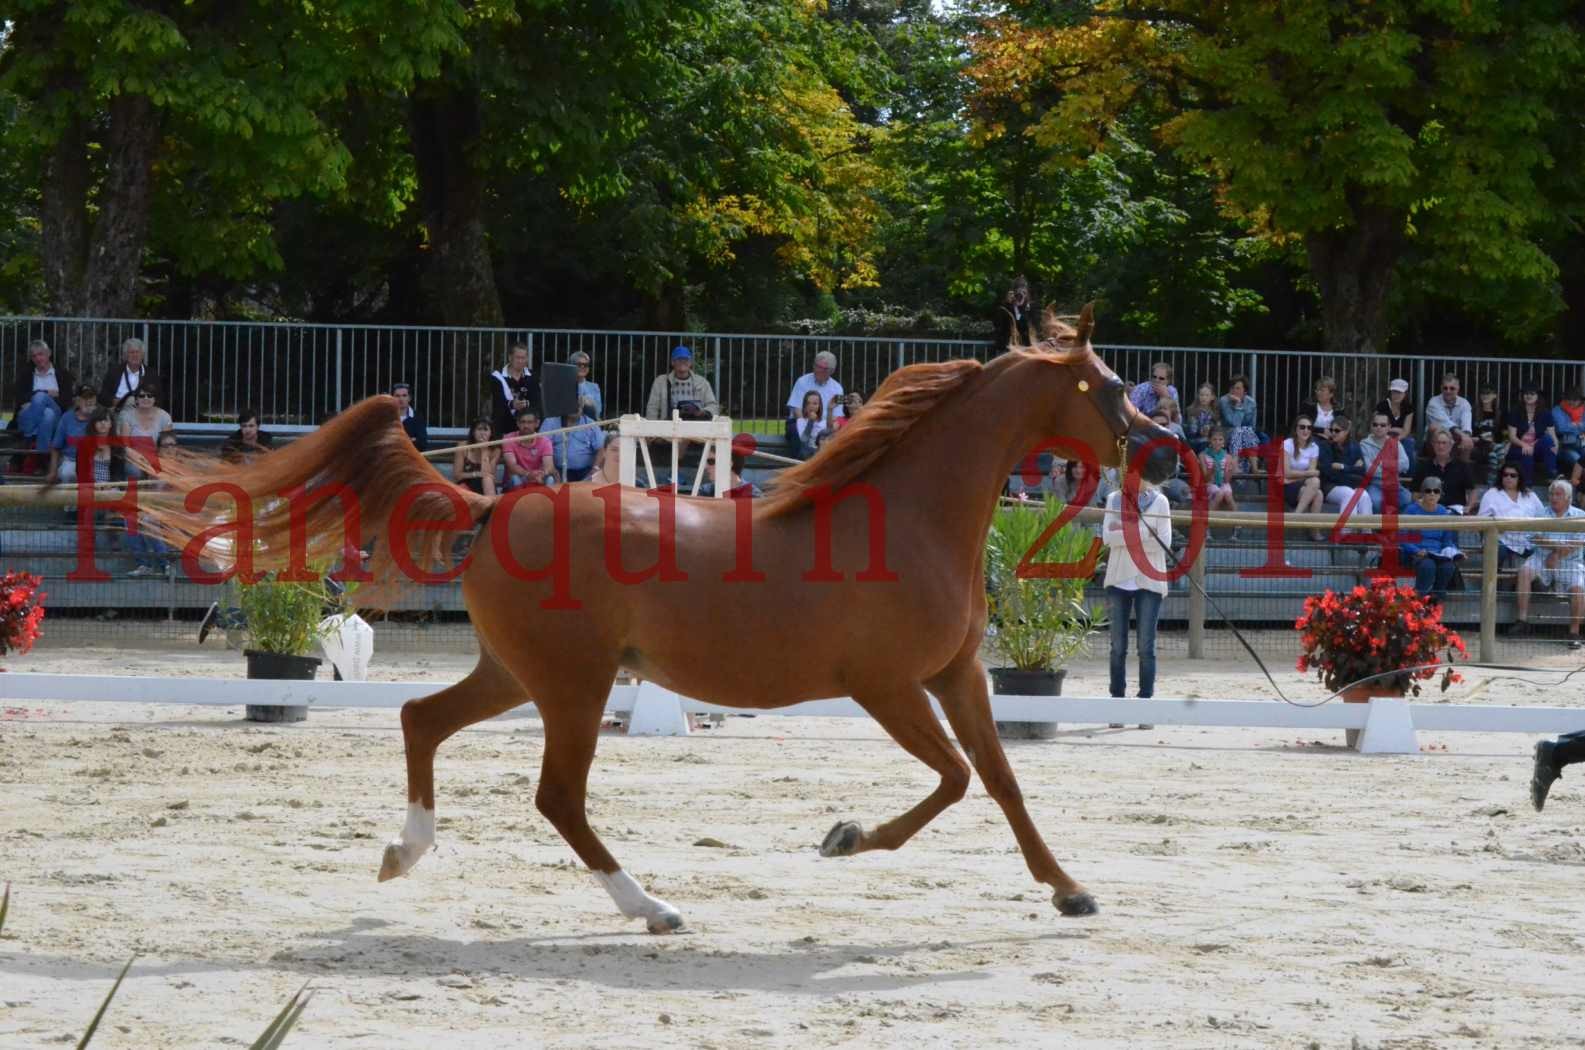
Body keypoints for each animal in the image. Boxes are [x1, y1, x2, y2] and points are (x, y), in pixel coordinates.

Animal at [139, 306, 1179, 938]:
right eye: (1104, 385)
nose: (1166, 453)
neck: (912, 520)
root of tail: (492, 505)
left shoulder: (956, 674)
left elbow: (1000, 781)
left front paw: (1070, 890)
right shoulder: (885, 686)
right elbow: (955, 779)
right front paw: (844, 837)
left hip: (518, 672)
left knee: (420, 720)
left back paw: (405, 854)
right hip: (573, 684)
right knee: (555, 796)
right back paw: (652, 906)